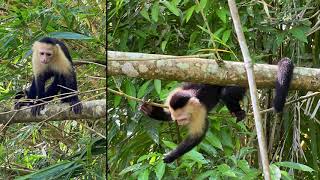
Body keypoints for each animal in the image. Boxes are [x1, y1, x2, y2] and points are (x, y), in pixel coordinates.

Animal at [141, 57, 294, 163]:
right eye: (177, 119)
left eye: (183, 118)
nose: (180, 123)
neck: (189, 97)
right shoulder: (171, 99)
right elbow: (167, 115)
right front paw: (148, 109)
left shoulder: (199, 110)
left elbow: (197, 135)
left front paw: (171, 156)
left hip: (239, 81)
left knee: (226, 93)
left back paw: (238, 112)